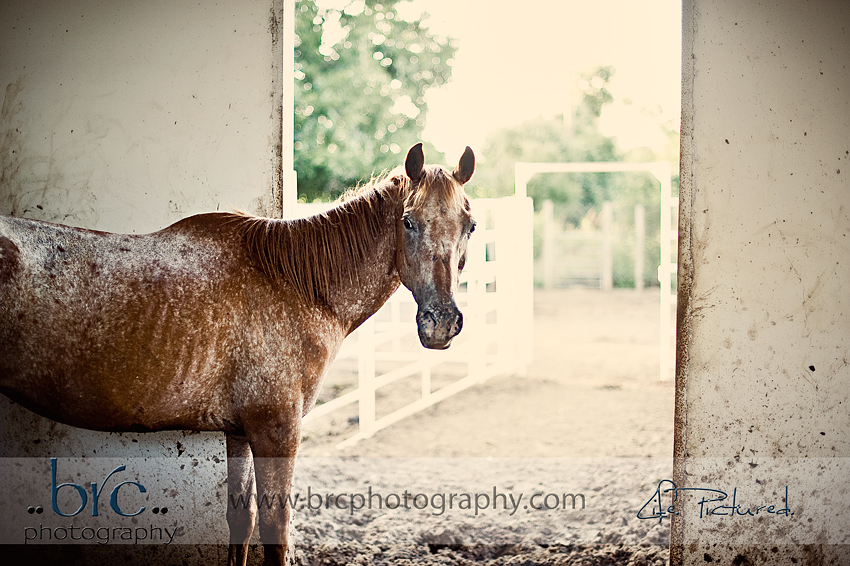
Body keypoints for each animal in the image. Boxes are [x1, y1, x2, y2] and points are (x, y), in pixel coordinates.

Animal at [0, 143, 476, 565]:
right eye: (408, 222)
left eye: (469, 225)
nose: (440, 321)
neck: (294, 284)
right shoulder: (276, 429)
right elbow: (274, 527)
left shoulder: (240, 432)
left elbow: (240, 520)